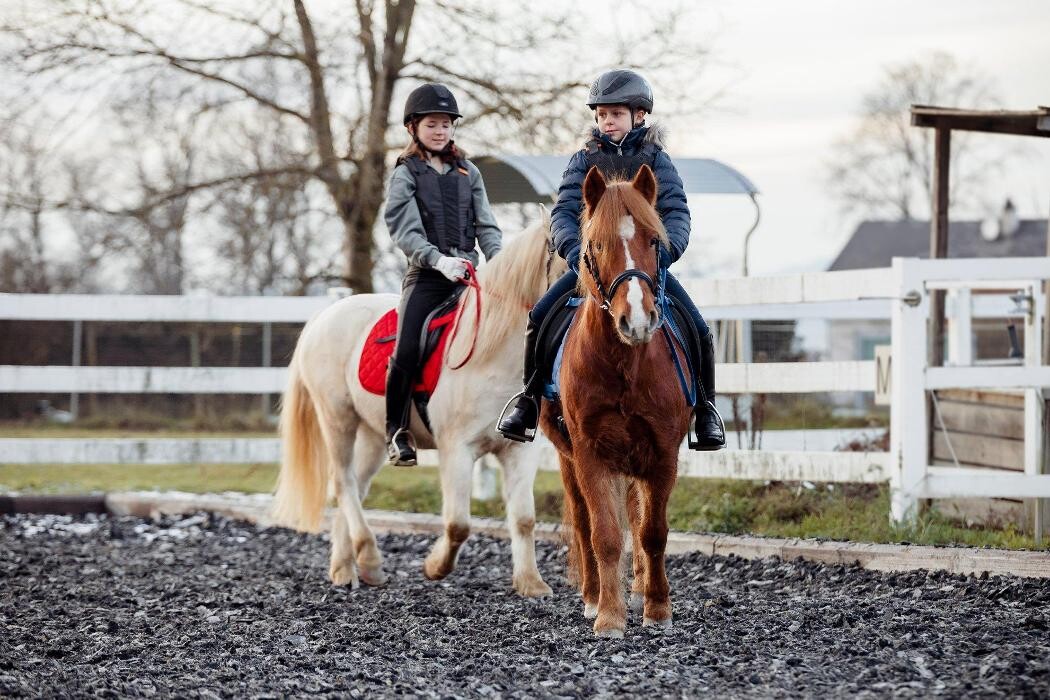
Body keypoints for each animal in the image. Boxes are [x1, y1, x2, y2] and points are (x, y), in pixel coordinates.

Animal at [275, 215, 562, 596]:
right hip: (337, 419)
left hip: (372, 435)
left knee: (355, 486)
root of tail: (324, 316)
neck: (491, 350)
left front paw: (532, 584)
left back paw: (347, 569)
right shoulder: (457, 449)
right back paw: (368, 558)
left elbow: (525, 518)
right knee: (343, 484)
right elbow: (458, 524)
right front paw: (434, 567)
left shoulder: (519, 451)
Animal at [541, 165, 697, 642]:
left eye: (654, 241)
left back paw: (640, 586)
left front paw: (657, 608)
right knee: (583, 521)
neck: (625, 365)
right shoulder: (590, 454)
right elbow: (605, 535)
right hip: (569, 458)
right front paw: (609, 615)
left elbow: (652, 532)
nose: (638, 320)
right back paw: (594, 596)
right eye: (596, 244)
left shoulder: (663, 454)